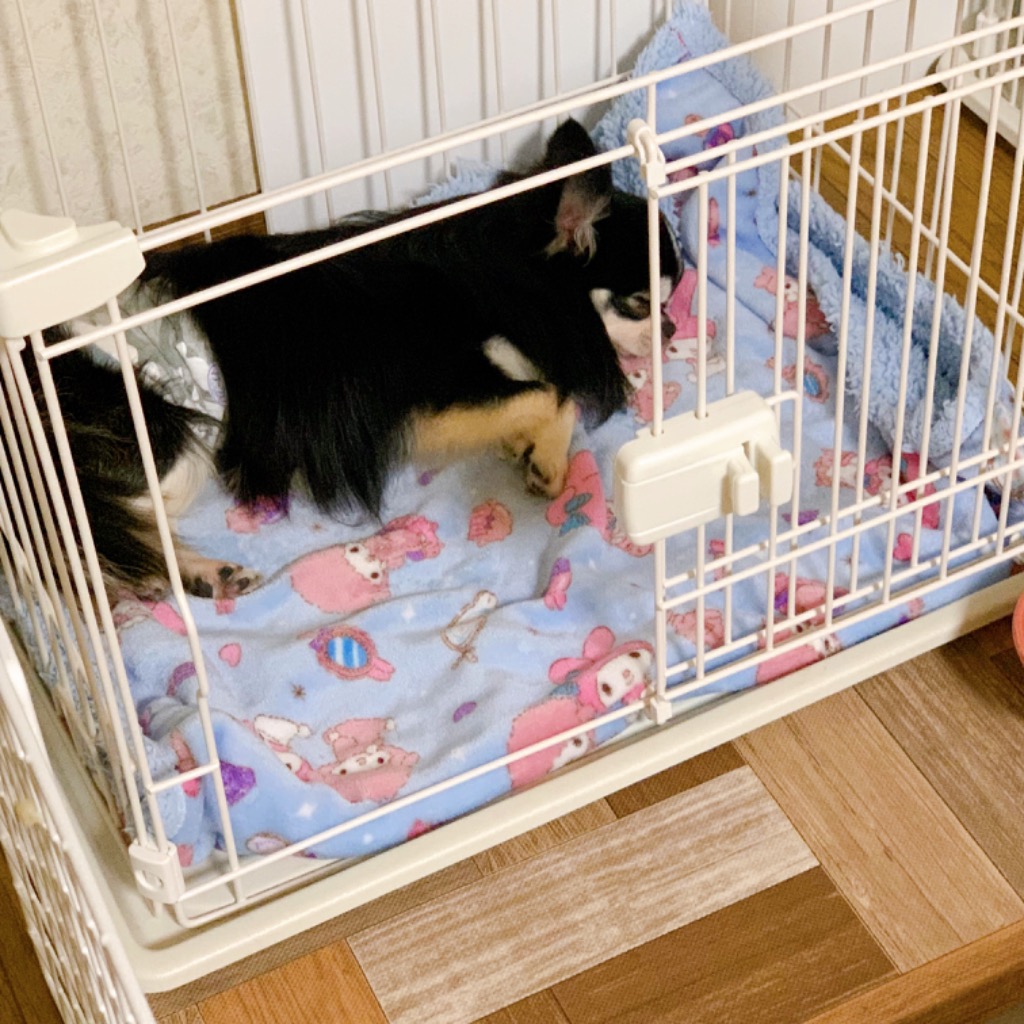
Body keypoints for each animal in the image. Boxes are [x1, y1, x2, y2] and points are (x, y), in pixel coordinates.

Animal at [32, 118, 680, 601]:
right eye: (643, 302)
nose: (673, 328)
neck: (499, 275)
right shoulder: (431, 396)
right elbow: (553, 397)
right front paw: (548, 464)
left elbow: (529, 398)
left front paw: (523, 446)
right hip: (167, 441)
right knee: (85, 548)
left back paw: (205, 574)